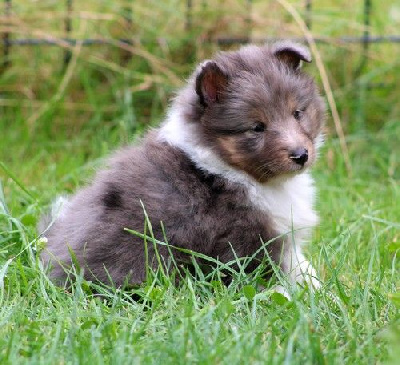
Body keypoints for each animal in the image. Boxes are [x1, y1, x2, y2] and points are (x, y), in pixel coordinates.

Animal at [39, 42, 324, 288]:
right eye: (257, 127)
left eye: (297, 113)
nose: (301, 155)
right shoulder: (246, 241)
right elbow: (272, 277)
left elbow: (304, 270)